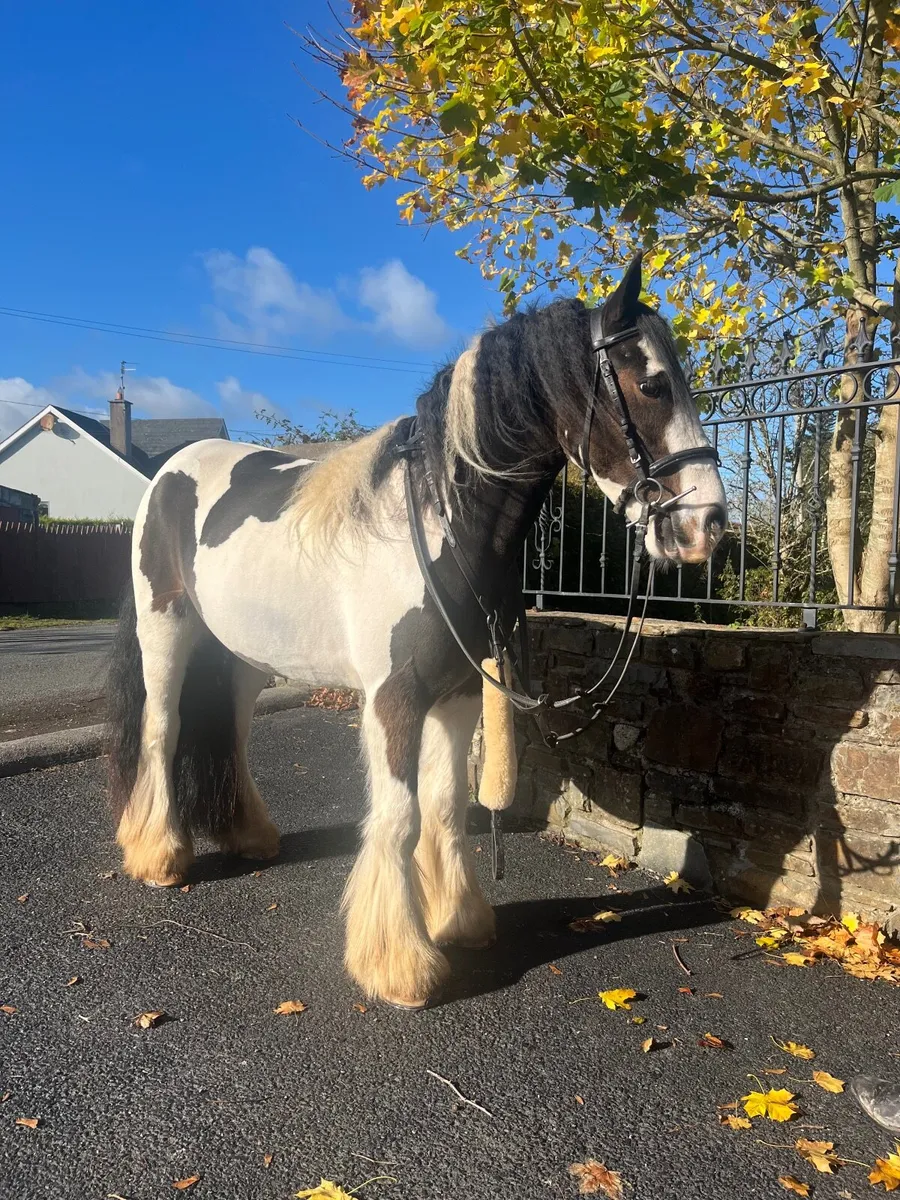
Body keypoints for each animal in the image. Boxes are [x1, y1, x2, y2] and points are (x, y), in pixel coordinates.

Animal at [107, 254, 727, 1009]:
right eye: (651, 383)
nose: (708, 526)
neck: (439, 526)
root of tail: (169, 471)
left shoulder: (458, 694)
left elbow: (446, 805)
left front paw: (459, 922)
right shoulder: (394, 698)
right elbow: (400, 819)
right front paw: (400, 964)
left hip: (244, 657)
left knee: (231, 730)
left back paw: (250, 834)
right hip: (165, 631)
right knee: (162, 731)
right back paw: (161, 855)